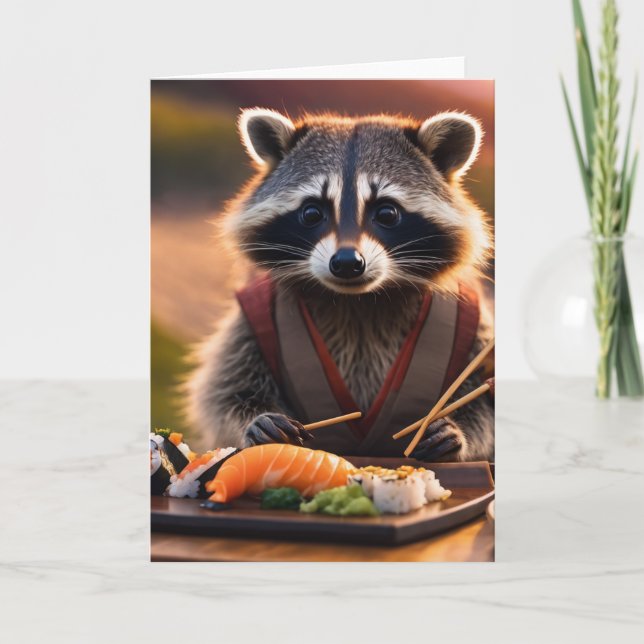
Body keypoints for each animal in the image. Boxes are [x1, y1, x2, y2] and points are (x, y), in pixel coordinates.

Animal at [187, 108, 494, 462]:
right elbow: (226, 391)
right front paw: (255, 419)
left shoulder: (475, 328)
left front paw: (459, 432)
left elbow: (485, 400)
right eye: (311, 212)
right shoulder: (252, 319)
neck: (357, 300)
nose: (347, 263)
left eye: (387, 212)